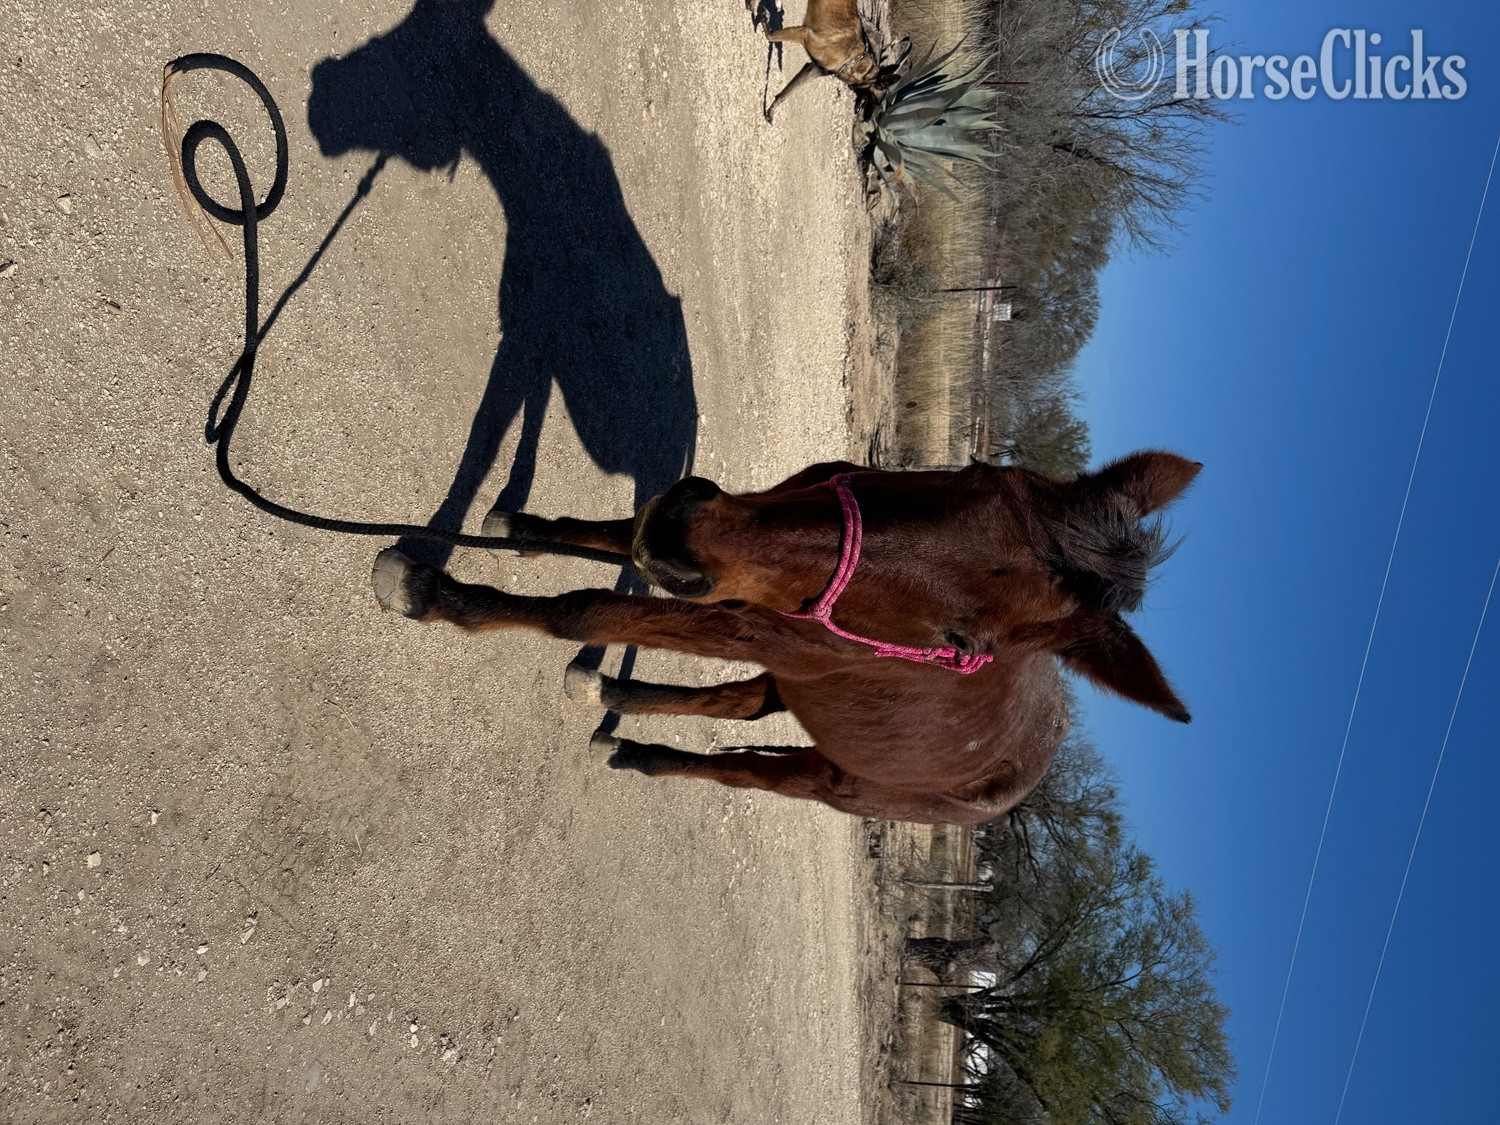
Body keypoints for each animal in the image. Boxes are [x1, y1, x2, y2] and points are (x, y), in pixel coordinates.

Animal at [369, 451, 1199, 825]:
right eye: (974, 470)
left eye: (963, 643)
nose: (683, 536)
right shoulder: (744, 576)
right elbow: (610, 536)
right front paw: (521, 526)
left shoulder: (753, 624)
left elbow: (586, 608)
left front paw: (436, 594)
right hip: (799, 685)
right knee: (733, 707)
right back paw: (612, 693)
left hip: (831, 777)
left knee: (741, 769)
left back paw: (640, 753)